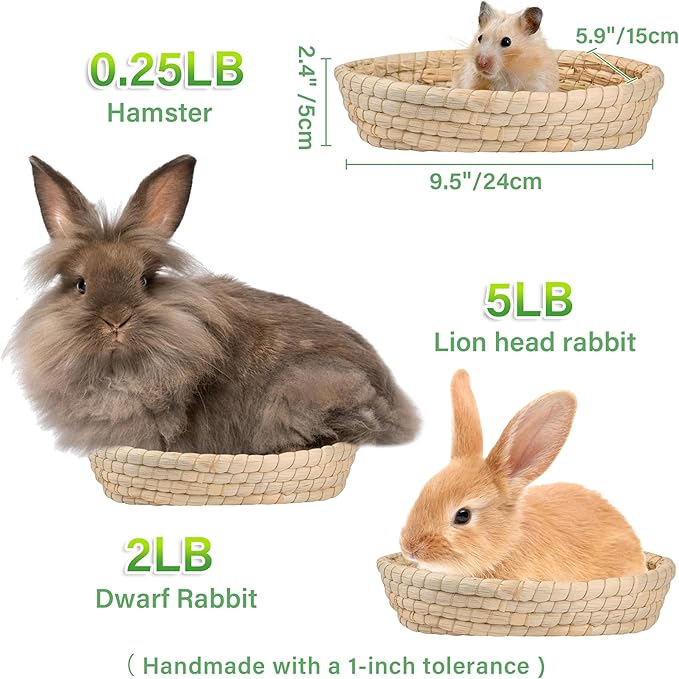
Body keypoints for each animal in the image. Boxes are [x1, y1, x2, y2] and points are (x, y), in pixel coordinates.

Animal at [7, 155, 419, 455]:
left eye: (145, 281)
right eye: (80, 285)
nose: (116, 321)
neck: (121, 370)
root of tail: (395, 405)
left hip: (309, 386)